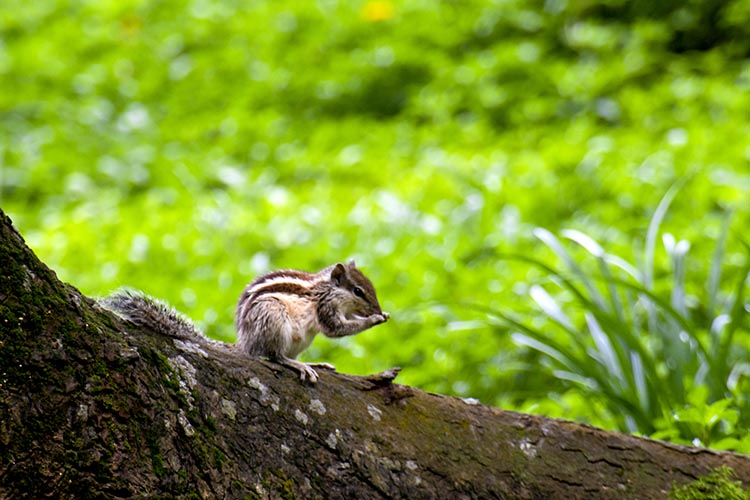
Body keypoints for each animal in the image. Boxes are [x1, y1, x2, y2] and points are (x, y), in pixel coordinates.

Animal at [102, 260, 389, 383]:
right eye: (358, 291)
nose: (378, 308)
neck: (326, 288)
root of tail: (244, 342)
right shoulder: (326, 308)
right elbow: (336, 329)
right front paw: (374, 319)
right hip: (273, 317)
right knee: (273, 356)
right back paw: (296, 364)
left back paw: (311, 362)